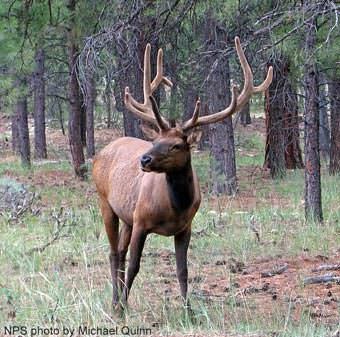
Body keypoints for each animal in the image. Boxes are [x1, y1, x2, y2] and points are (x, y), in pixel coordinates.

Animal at [93, 36, 274, 310]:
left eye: (177, 145)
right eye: (155, 139)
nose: (144, 159)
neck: (175, 206)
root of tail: (101, 152)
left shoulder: (184, 227)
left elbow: (183, 270)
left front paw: (189, 311)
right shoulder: (141, 220)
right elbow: (135, 266)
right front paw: (123, 307)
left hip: (126, 215)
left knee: (120, 253)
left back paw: (117, 301)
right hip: (106, 203)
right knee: (114, 254)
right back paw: (116, 303)